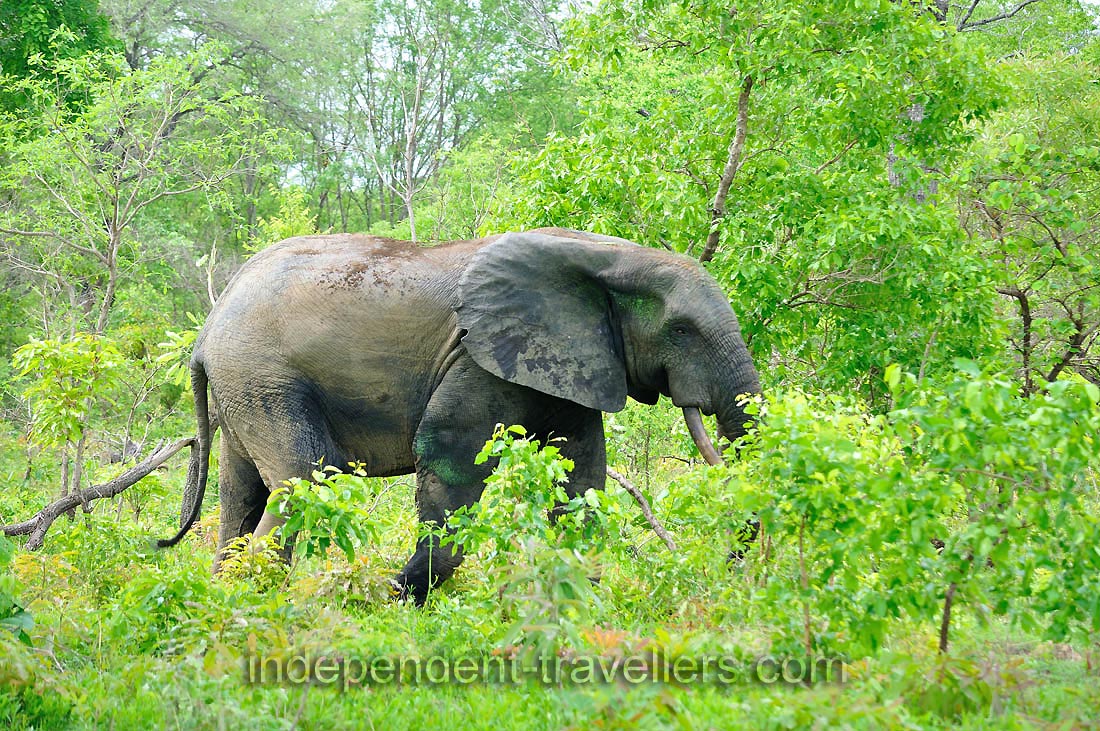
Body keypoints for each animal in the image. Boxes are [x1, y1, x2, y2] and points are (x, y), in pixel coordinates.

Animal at [157, 228, 760, 604]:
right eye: (681, 331)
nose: (730, 566)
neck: (603, 256)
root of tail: (205, 332)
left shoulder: (575, 358)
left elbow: (581, 472)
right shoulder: (478, 356)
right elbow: (451, 454)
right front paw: (395, 599)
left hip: (244, 386)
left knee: (243, 493)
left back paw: (225, 602)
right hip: (265, 378)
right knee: (304, 478)